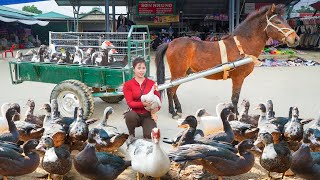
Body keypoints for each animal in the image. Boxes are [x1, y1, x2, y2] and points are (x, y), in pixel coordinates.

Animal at [156, 3, 300, 118]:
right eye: (277, 22)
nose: (296, 39)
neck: (242, 45)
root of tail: (170, 43)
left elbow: (234, 98)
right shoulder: (238, 77)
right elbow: (235, 98)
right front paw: (235, 116)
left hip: (183, 73)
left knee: (173, 90)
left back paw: (178, 109)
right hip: (179, 72)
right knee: (170, 90)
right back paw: (173, 112)